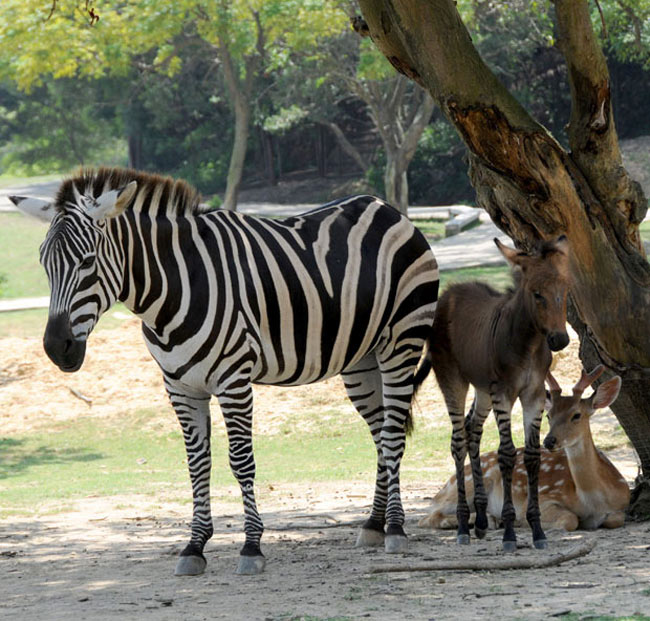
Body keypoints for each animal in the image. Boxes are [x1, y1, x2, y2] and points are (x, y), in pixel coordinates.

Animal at [10, 166, 438, 576]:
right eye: (44, 264)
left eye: (87, 262)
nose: (56, 348)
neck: (170, 293)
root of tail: (385, 207)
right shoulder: (180, 387)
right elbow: (197, 463)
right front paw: (194, 546)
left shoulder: (234, 380)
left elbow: (240, 460)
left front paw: (251, 547)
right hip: (361, 361)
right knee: (380, 434)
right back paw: (374, 524)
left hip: (401, 342)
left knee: (392, 434)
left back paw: (395, 529)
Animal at [416, 235, 568, 548]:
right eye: (536, 294)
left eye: (565, 289)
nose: (560, 340)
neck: (528, 343)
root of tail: (450, 292)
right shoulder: (504, 393)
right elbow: (506, 454)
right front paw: (510, 532)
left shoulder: (533, 394)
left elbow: (532, 455)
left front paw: (537, 530)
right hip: (454, 380)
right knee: (458, 441)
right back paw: (463, 525)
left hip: (483, 388)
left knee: (472, 430)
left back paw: (482, 521)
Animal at [420, 366, 628, 532]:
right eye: (549, 416)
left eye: (576, 415)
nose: (549, 441)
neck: (593, 500)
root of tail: (441, 490)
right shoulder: (545, 497)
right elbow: (570, 519)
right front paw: (524, 522)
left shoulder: (621, 503)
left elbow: (616, 520)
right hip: (468, 484)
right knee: (429, 516)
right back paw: (490, 520)